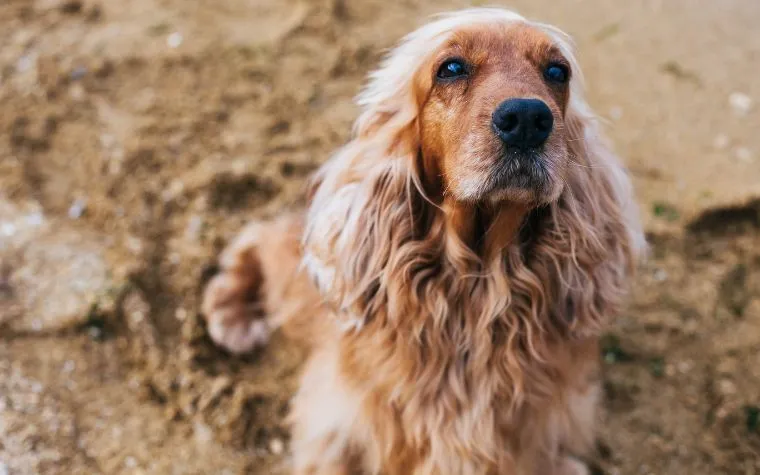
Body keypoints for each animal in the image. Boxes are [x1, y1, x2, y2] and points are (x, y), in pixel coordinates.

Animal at [200, 8, 640, 475]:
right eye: (451, 67)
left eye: (557, 71)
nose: (527, 120)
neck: (476, 289)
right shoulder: (338, 427)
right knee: (262, 234)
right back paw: (233, 309)